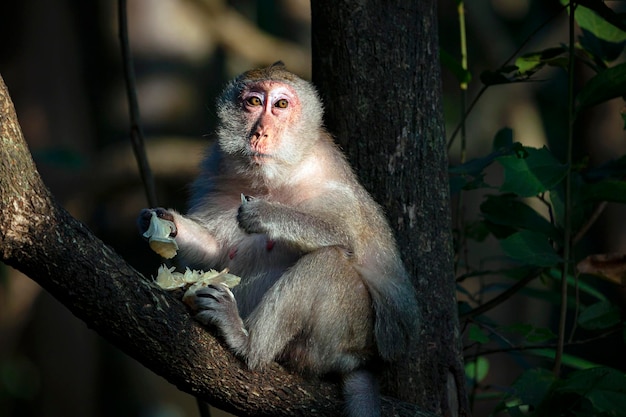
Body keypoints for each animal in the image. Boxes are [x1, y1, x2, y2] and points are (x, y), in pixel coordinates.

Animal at [139, 61, 416, 416]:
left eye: (281, 105)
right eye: (254, 102)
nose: (261, 133)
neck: (272, 180)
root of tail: (359, 360)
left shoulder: (326, 177)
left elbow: (347, 239)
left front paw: (265, 214)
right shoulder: (214, 172)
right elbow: (214, 249)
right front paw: (165, 224)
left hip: (344, 333)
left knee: (328, 261)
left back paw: (247, 344)